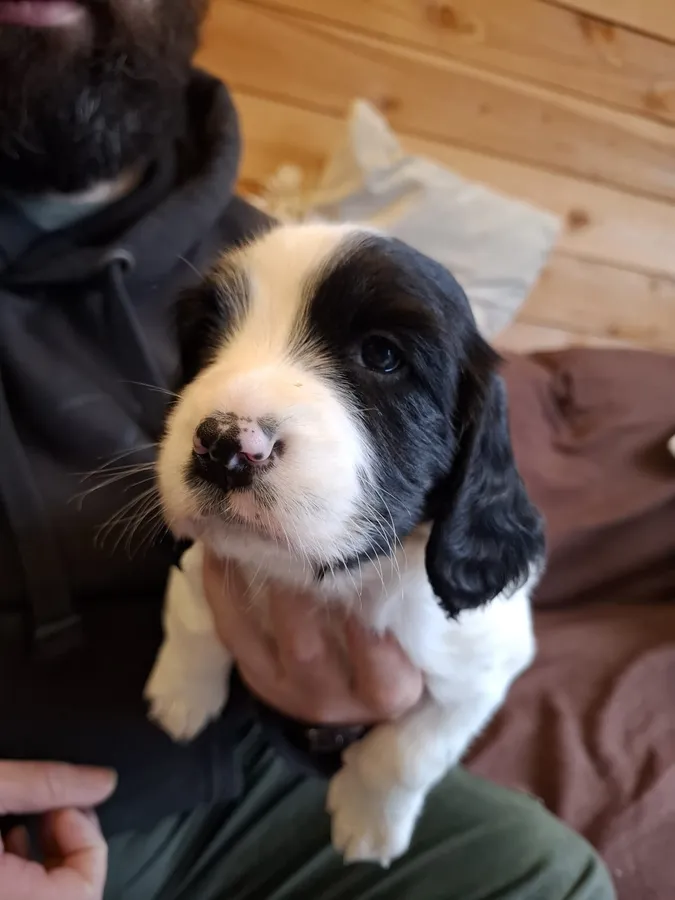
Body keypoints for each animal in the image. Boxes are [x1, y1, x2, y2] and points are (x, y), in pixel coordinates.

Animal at [145, 222, 545, 866]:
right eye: (207, 334)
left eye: (382, 355)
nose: (224, 445)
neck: (327, 581)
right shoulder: (203, 559)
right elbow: (193, 614)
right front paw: (181, 696)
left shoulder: (483, 667)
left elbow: (409, 753)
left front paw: (368, 821)